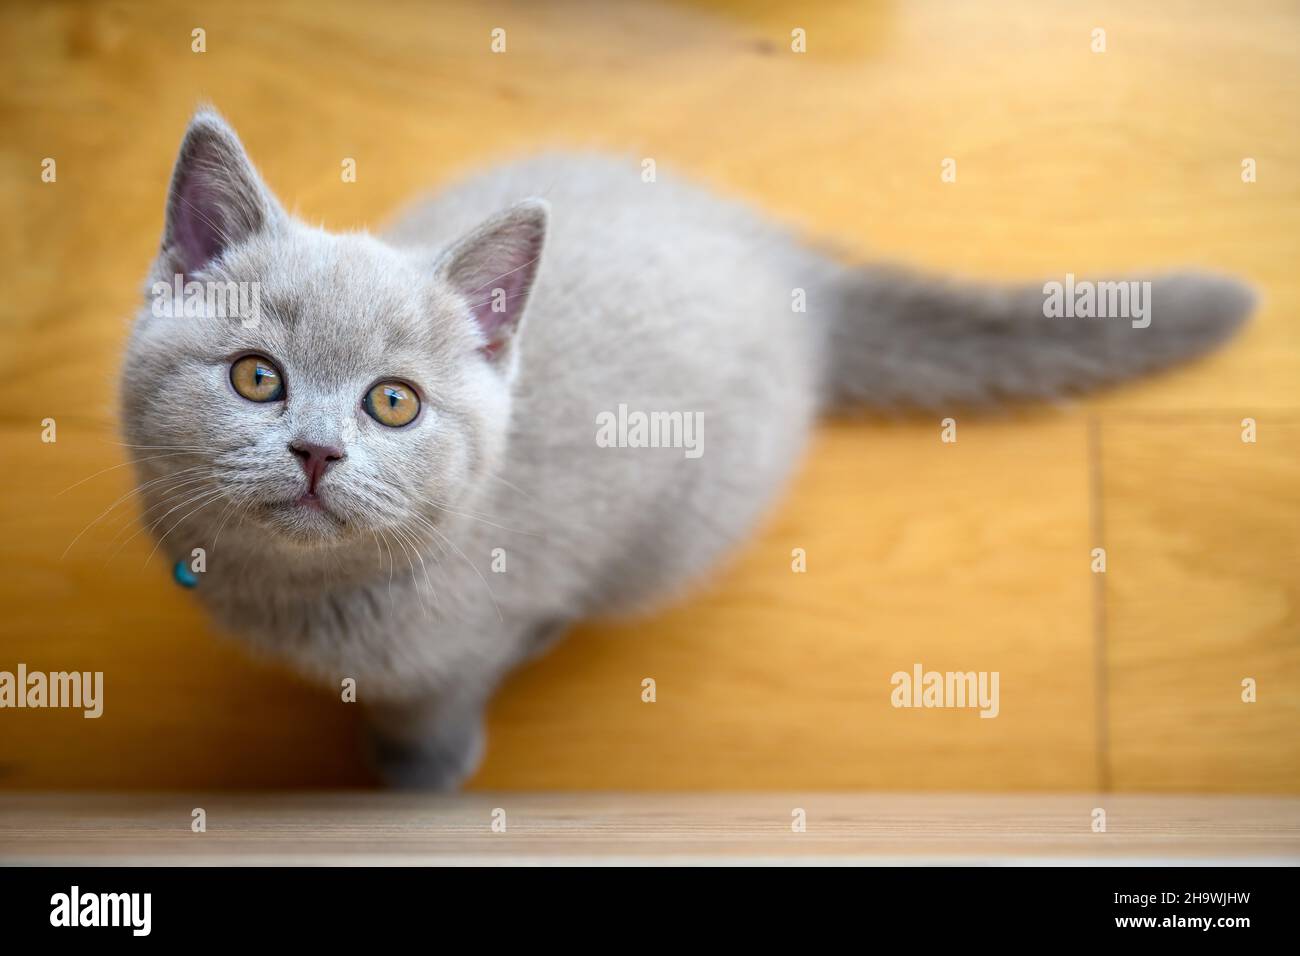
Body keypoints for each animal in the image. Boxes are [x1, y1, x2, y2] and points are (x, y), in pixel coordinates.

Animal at [119, 111, 1248, 790]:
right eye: (256, 377)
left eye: (393, 403)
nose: (316, 451)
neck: (294, 594)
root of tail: (788, 269)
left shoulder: (459, 644)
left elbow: (438, 700)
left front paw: (415, 775)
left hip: (679, 529)